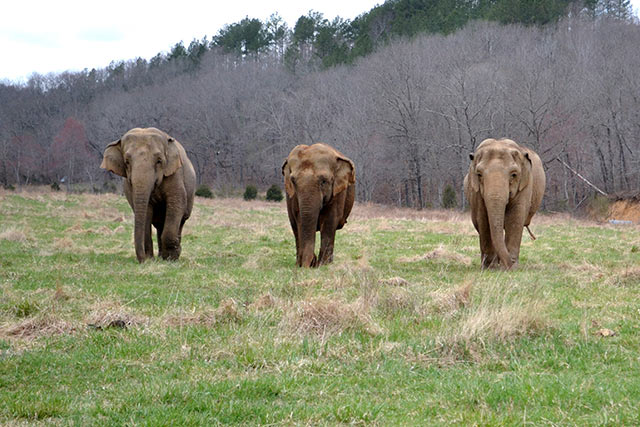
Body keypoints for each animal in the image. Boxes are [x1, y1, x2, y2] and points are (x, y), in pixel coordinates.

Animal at [99, 127, 195, 262]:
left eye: (159, 161)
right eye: (127, 162)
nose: (142, 260)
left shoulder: (175, 174)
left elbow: (177, 203)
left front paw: (171, 258)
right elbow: (146, 210)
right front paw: (150, 259)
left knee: (180, 221)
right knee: (159, 224)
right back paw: (160, 256)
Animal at [462, 139, 548, 270]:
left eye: (514, 174)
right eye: (479, 174)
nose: (509, 265)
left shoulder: (525, 186)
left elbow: (515, 218)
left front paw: (510, 267)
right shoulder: (475, 191)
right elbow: (483, 219)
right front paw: (490, 268)